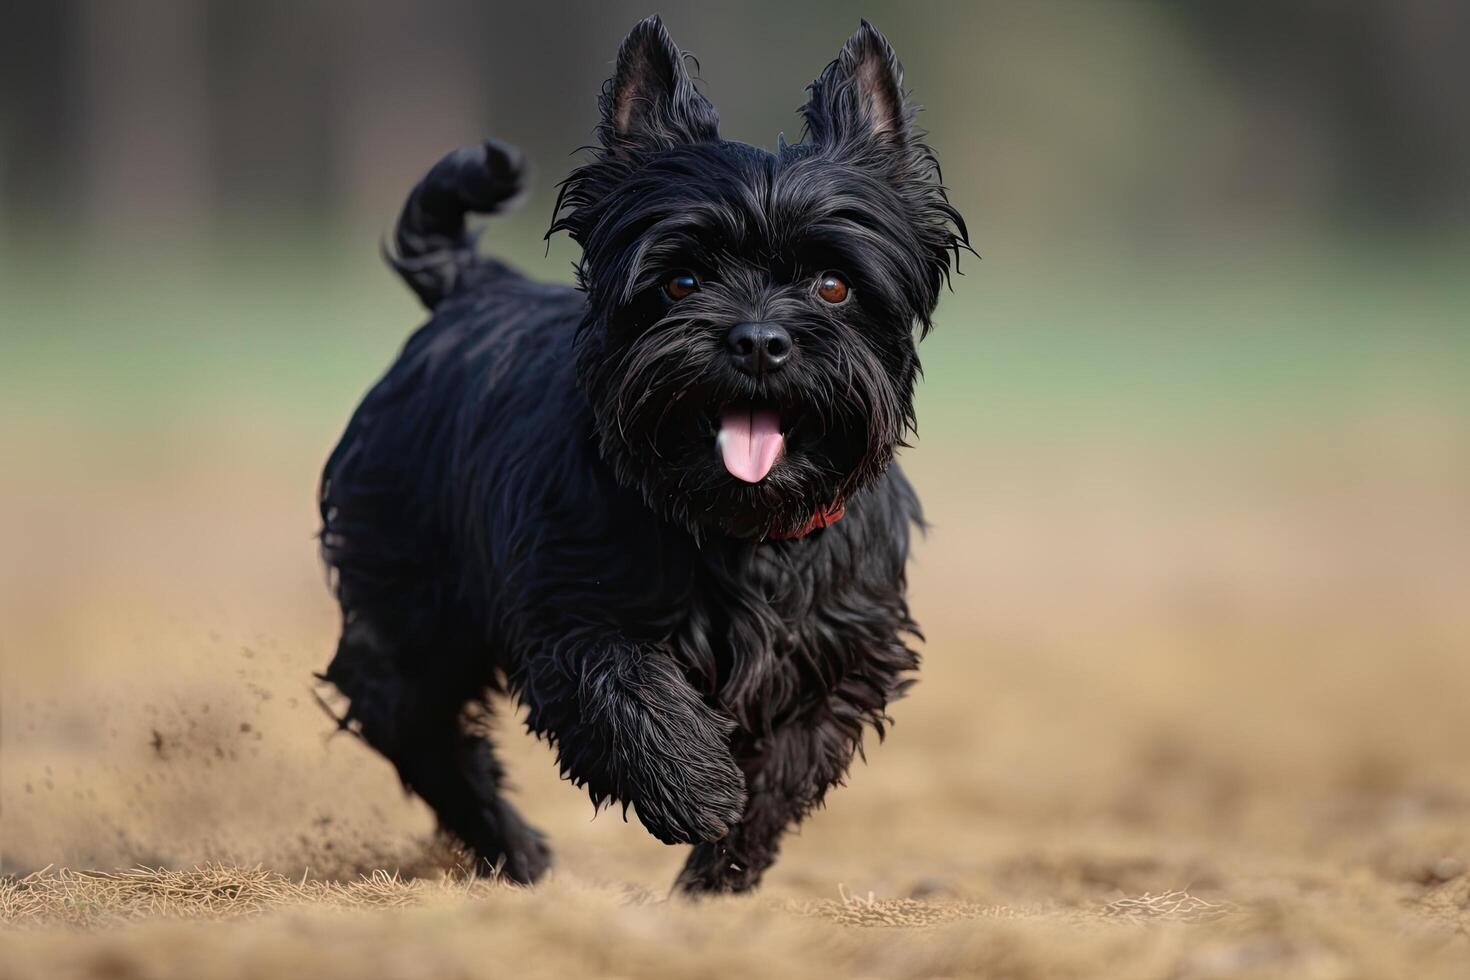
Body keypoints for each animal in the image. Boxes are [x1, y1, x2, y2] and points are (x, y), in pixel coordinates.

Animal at [316, 15, 964, 893]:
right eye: (681, 281)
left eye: (834, 286)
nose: (759, 340)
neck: (738, 527)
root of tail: (473, 286)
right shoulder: (569, 611)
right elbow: (626, 690)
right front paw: (695, 787)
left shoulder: (842, 650)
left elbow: (788, 765)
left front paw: (720, 872)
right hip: (411, 603)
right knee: (409, 717)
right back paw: (515, 848)